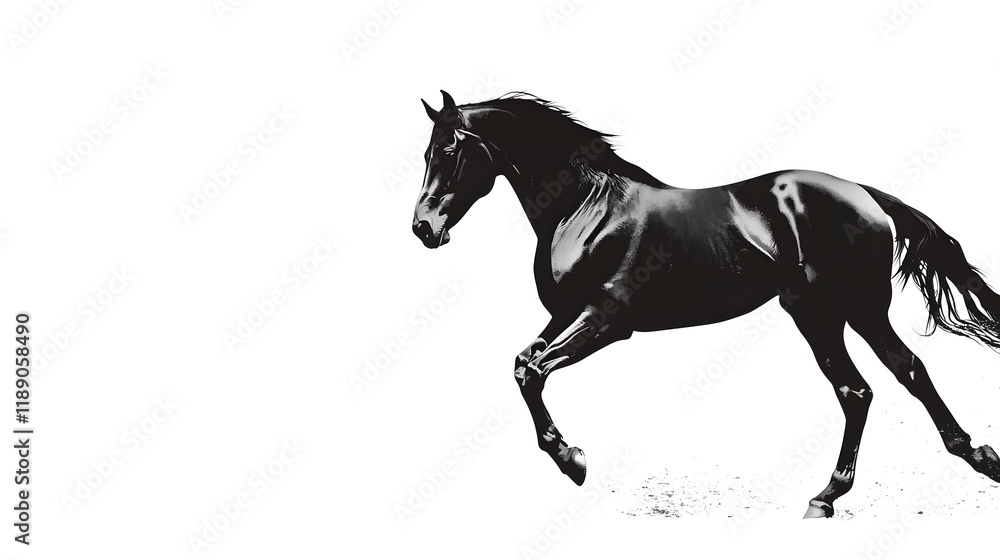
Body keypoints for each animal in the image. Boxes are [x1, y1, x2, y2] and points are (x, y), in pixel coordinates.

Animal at [410, 90, 1000, 518]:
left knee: (898, 375)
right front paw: (570, 458)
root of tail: (865, 194)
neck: (585, 208)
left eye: (449, 150)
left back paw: (965, 461)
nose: (423, 228)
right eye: (425, 152)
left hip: (854, 310)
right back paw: (831, 496)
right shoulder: (562, 315)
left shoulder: (605, 321)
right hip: (818, 314)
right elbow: (520, 364)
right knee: (866, 387)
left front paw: (573, 462)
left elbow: (534, 372)